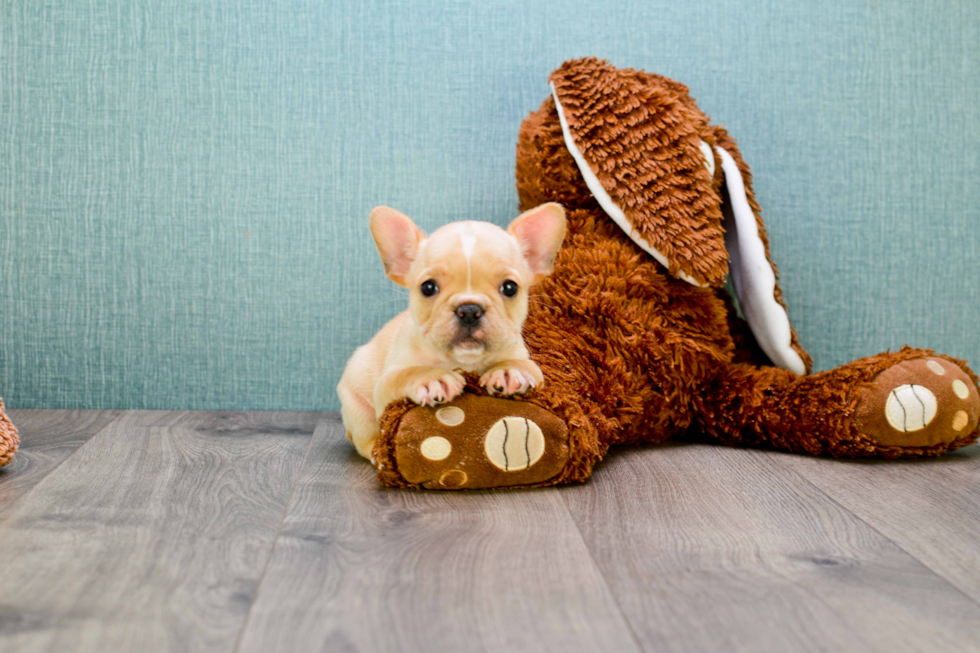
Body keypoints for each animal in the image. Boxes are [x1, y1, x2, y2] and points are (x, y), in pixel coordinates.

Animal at [336, 204, 568, 458]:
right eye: (428, 287)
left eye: (510, 288)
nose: (469, 309)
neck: (463, 360)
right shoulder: (387, 385)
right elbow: (407, 374)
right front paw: (431, 378)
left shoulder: (529, 364)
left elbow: (524, 366)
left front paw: (508, 371)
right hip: (357, 406)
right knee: (364, 440)